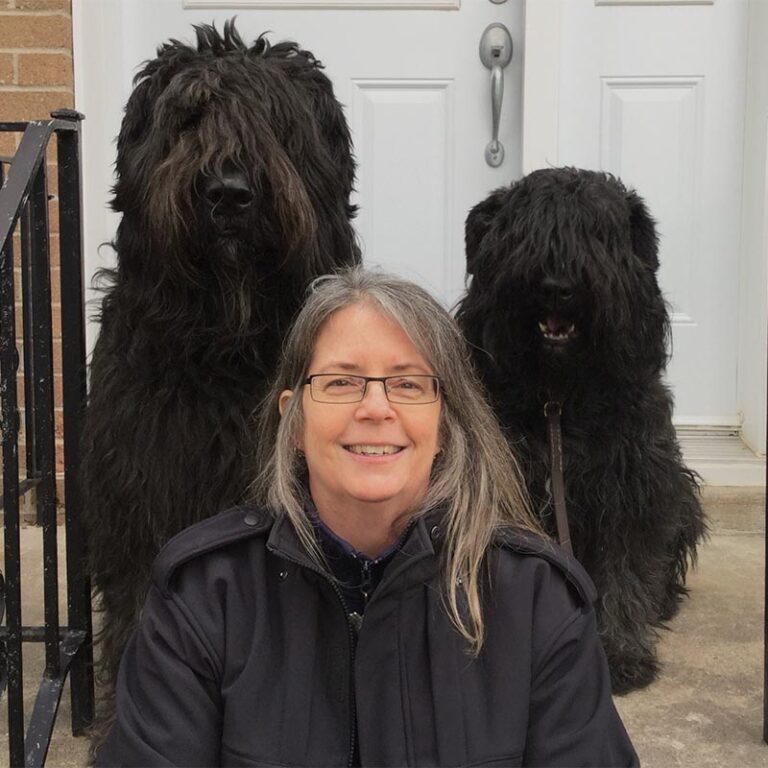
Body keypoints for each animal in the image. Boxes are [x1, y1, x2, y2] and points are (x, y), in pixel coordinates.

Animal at [456, 170, 708, 696]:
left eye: (597, 233)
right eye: (523, 233)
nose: (558, 287)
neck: (560, 395)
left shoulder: (634, 486)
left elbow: (627, 570)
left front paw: (622, 653)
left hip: (681, 493)